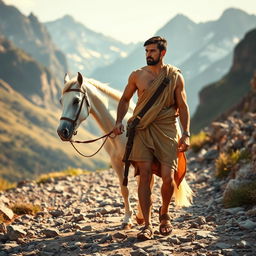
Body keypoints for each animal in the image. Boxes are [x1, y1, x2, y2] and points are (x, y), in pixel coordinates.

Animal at [57, 71, 193, 228]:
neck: (119, 134)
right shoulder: (117, 163)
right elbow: (125, 189)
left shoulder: (136, 161)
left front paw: (137, 217)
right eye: (61, 101)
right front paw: (127, 218)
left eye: (76, 101)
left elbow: (140, 186)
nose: (62, 131)